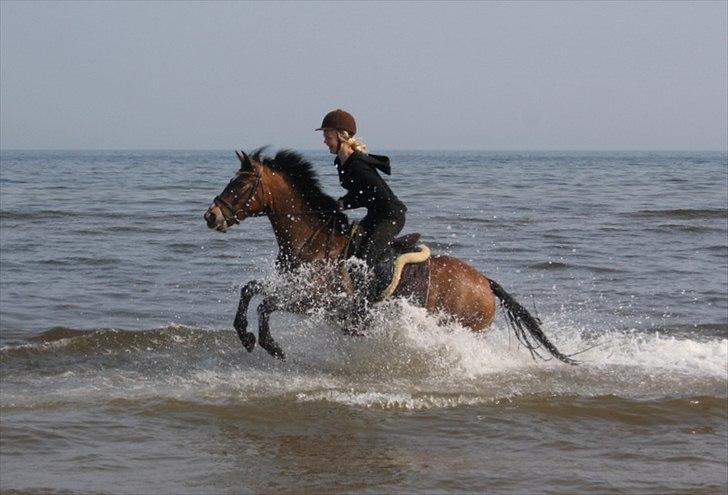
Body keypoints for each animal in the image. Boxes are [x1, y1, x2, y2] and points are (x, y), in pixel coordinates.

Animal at [203, 148, 576, 364]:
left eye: (239, 184)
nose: (210, 216)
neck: (313, 239)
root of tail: (484, 282)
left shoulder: (314, 300)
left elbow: (265, 305)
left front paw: (270, 345)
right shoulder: (290, 284)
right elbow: (250, 289)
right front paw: (245, 336)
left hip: (461, 327)